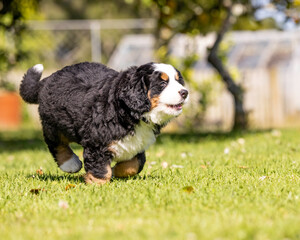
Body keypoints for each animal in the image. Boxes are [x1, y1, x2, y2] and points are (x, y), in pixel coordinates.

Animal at [19, 62, 188, 184]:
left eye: (179, 81)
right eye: (162, 84)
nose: (185, 92)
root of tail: (48, 80)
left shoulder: (137, 144)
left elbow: (136, 164)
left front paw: (116, 171)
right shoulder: (97, 143)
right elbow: (100, 168)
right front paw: (97, 184)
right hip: (55, 123)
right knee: (55, 143)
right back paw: (70, 164)